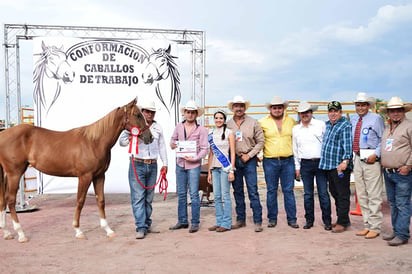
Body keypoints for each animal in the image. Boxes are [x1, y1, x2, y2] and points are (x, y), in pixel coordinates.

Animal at [0, 98, 152, 242]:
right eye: (138, 115)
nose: (150, 137)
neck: (94, 142)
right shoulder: (85, 176)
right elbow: (80, 201)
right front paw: (78, 231)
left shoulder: (99, 176)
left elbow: (101, 201)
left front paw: (108, 230)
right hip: (15, 173)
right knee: (10, 200)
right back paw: (21, 234)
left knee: (3, 200)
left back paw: (7, 233)